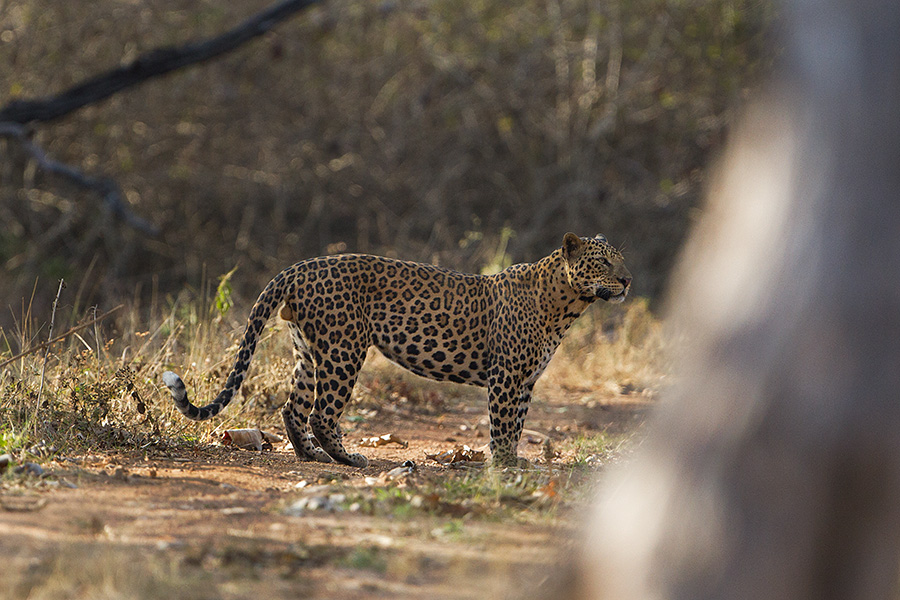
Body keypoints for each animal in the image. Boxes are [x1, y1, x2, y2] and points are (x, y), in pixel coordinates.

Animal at [162, 232, 632, 466]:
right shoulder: (506, 376)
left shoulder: (526, 380)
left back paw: (312, 456)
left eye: (620, 259)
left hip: (307, 351)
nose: (628, 280)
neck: (568, 305)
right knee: (320, 412)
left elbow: (517, 424)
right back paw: (349, 459)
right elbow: (502, 425)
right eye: (603, 262)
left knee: (292, 408)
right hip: (344, 348)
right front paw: (503, 465)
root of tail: (297, 267)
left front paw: (514, 461)